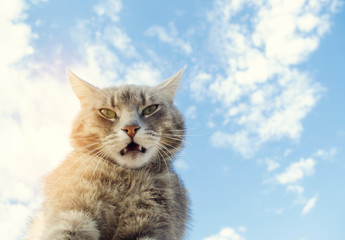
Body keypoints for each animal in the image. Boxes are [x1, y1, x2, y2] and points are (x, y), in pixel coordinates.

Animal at [24, 68, 188, 239]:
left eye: (150, 109)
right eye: (107, 112)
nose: (131, 128)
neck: (125, 176)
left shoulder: (151, 223)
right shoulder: (73, 211)